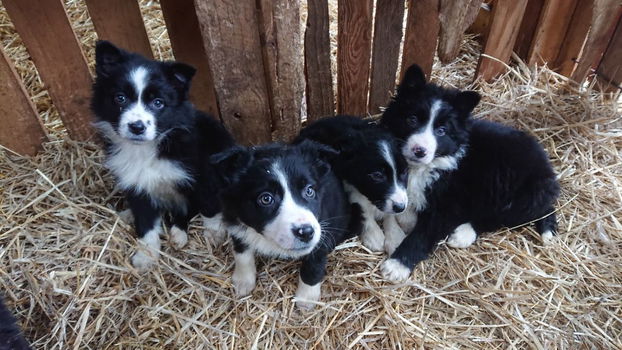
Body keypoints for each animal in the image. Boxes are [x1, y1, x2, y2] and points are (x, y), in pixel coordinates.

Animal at [92, 41, 236, 270]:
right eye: (120, 98)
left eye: (158, 103)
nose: (137, 127)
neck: (146, 149)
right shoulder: (137, 185)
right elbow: (146, 223)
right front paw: (146, 256)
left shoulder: (203, 175)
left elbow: (209, 206)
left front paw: (214, 234)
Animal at [213, 141, 364, 308]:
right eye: (266, 198)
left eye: (309, 191)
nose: (306, 232)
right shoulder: (233, 217)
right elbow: (242, 252)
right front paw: (243, 281)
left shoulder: (323, 227)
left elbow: (314, 264)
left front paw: (306, 299)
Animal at [296, 116, 410, 253]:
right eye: (377, 175)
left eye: (404, 172)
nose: (400, 207)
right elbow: (362, 204)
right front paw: (373, 235)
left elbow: (389, 214)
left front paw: (395, 236)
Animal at [380, 63, 560, 282]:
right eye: (412, 119)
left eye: (441, 131)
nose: (419, 151)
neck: (424, 167)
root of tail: (548, 168)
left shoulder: (449, 205)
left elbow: (423, 233)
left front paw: (397, 266)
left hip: (521, 193)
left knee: (505, 216)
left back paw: (463, 234)